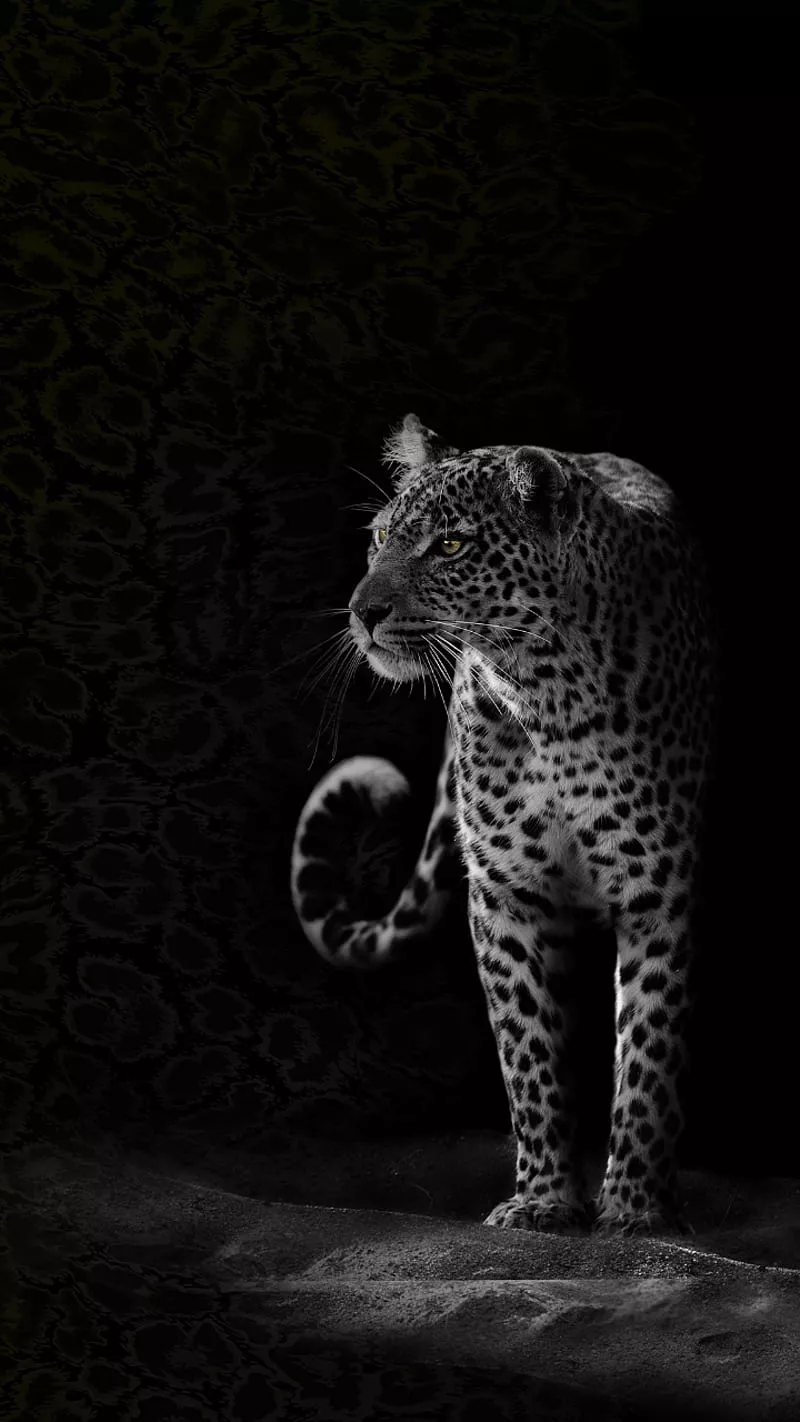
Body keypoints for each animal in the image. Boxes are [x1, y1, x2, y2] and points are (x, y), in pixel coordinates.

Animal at [291, 412, 717, 1236]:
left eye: (450, 546)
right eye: (380, 537)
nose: (362, 612)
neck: (546, 690)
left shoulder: (658, 891)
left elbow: (649, 1052)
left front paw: (636, 1208)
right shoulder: (506, 894)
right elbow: (529, 1051)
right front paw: (545, 1198)